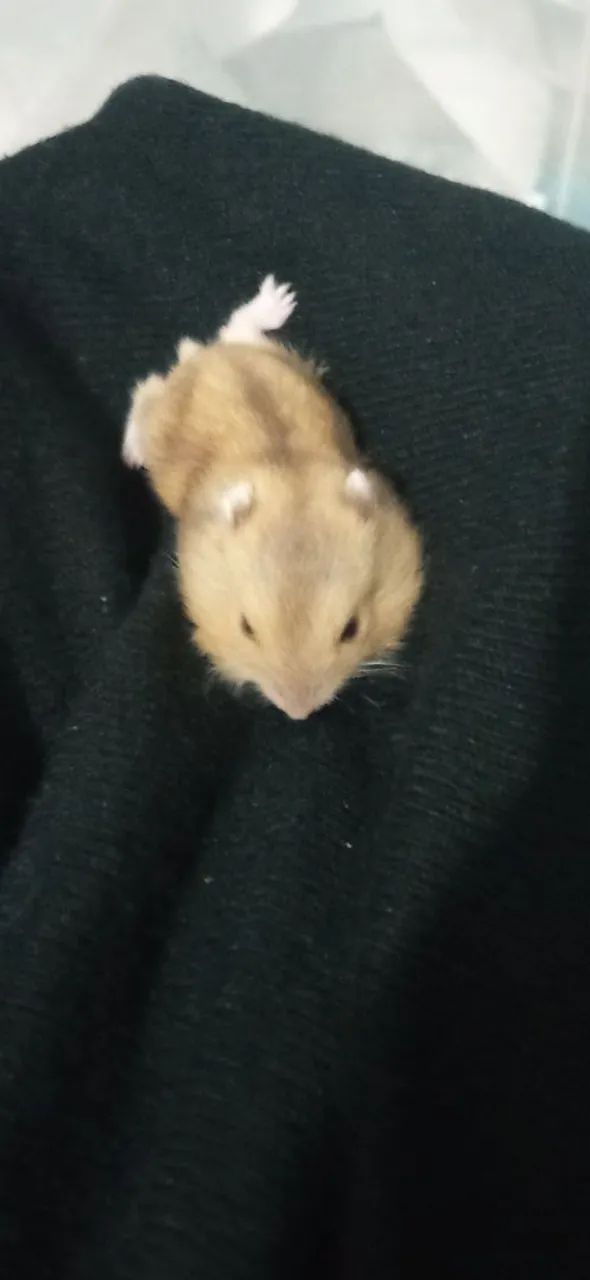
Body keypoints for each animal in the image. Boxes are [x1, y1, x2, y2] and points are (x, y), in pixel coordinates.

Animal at [122, 275, 423, 720]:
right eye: (246, 627)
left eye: (352, 628)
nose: (298, 713)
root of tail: (204, 358)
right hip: (161, 410)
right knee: (147, 391)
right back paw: (130, 453)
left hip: (264, 353)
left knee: (232, 329)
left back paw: (279, 298)